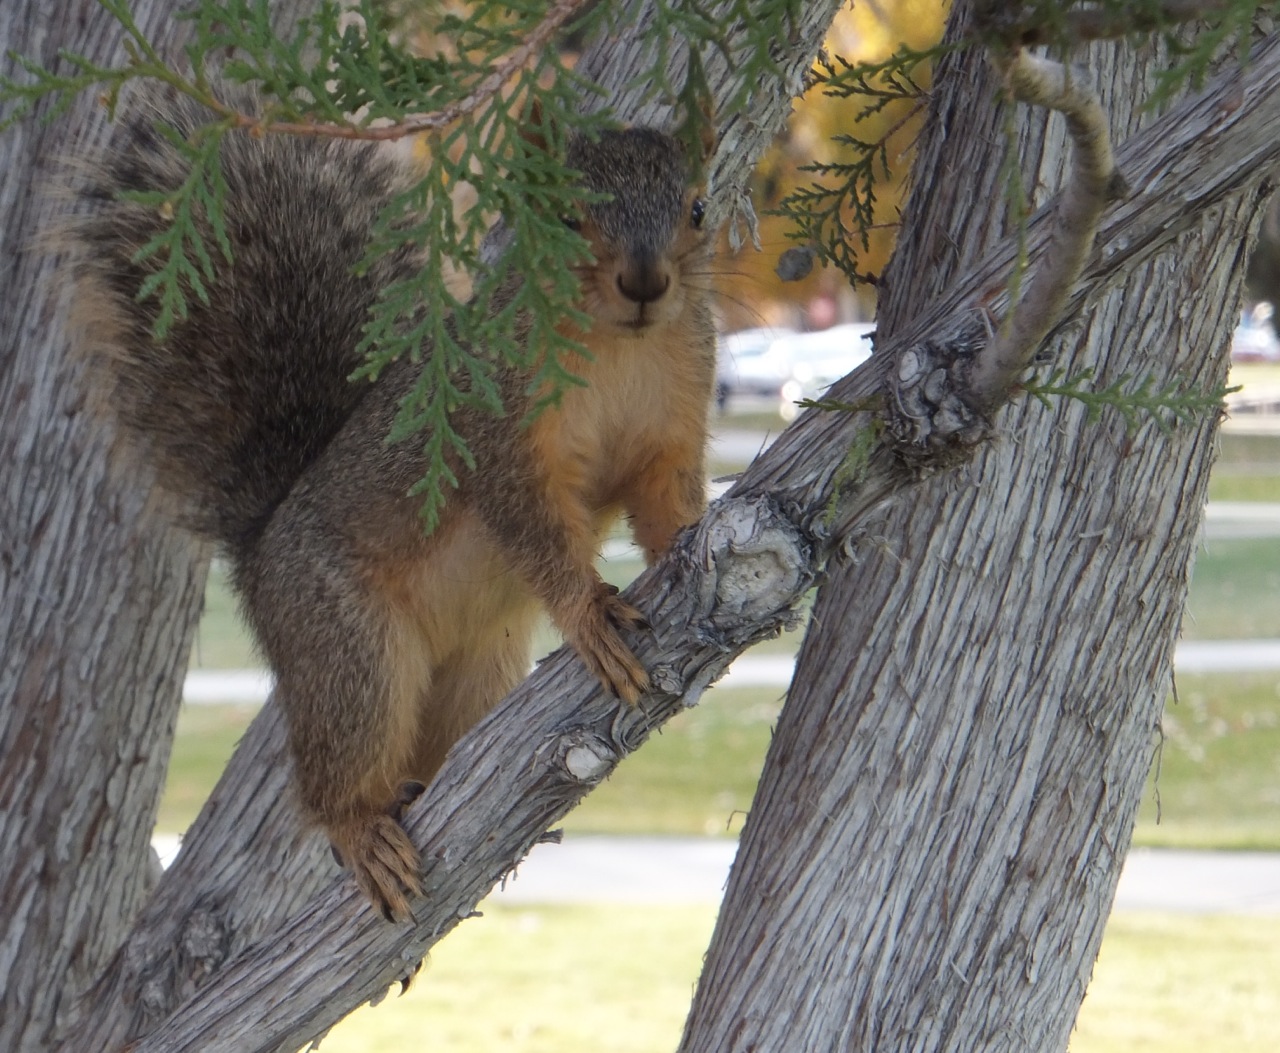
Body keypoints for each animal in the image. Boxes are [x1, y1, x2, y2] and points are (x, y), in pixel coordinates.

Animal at [72, 84, 721, 921]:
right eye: (562, 213)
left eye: (699, 207)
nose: (645, 283)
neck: (622, 349)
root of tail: (261, 548)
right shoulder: (499, 437)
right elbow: (535, 527)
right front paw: (588, 611)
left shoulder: (671, 428)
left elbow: (663, 497)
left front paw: (691, 539)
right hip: (351, 650)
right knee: (335, 769)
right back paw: (360, 829)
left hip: (478, 667)